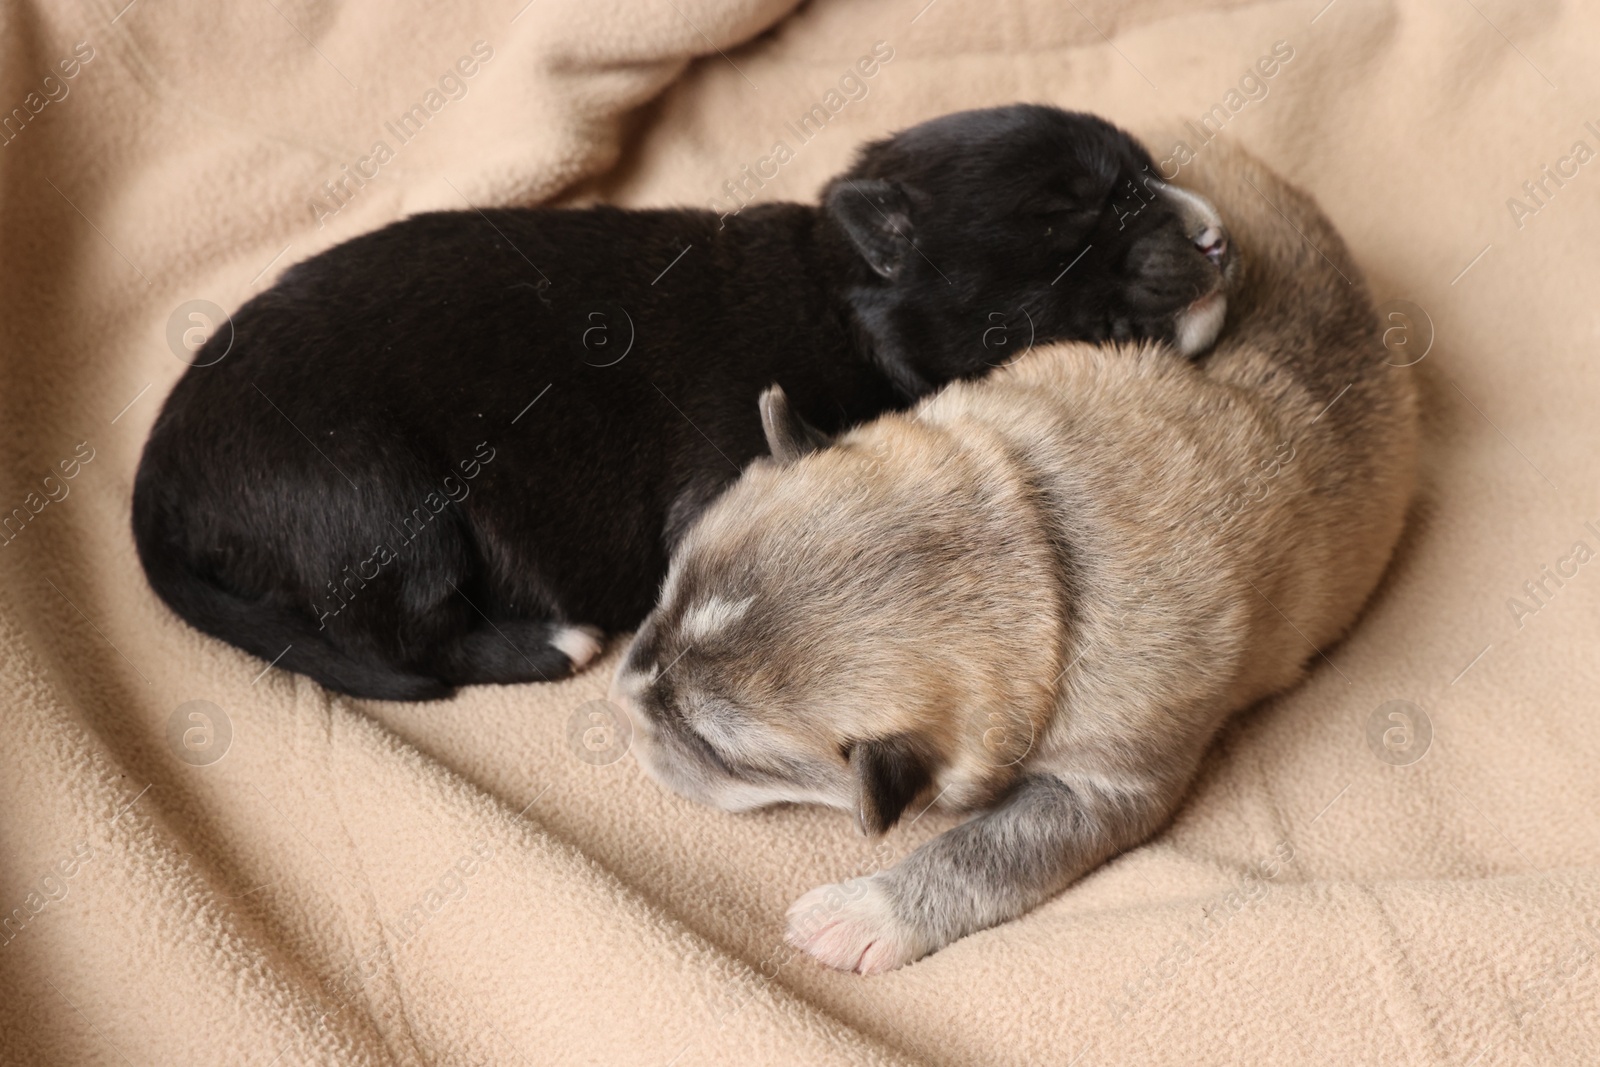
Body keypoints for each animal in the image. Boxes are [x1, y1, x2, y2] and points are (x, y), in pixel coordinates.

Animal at [131, 102, 1228, 700]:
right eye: (1069, 214)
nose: (1217, 234)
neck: (843, 298)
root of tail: (157, 483)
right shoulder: (727, 464)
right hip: (379, 499)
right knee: (399, 633)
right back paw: (549, 640)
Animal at [608, 141, 1414, 979]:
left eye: (717, 748)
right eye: (666, 593)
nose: (616, 706)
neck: (1034, 544)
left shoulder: (1101, 783)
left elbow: (987, 850)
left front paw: (858, 913)